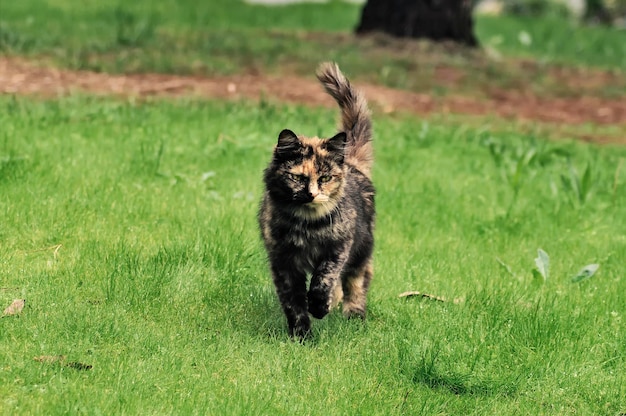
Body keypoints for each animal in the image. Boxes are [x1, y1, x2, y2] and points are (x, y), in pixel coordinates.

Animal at [260, 61, 376, 338]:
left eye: (325, 178)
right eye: (298, 177)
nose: (311, 193)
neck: (307, 226)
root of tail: (352, 163)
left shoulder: (337, 250)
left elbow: (324, 280)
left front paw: (319, 307)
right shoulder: (283, 262)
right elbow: (293, 301)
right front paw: (301, 335)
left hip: (361, 250)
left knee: (357, 280)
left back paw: (353, 315)